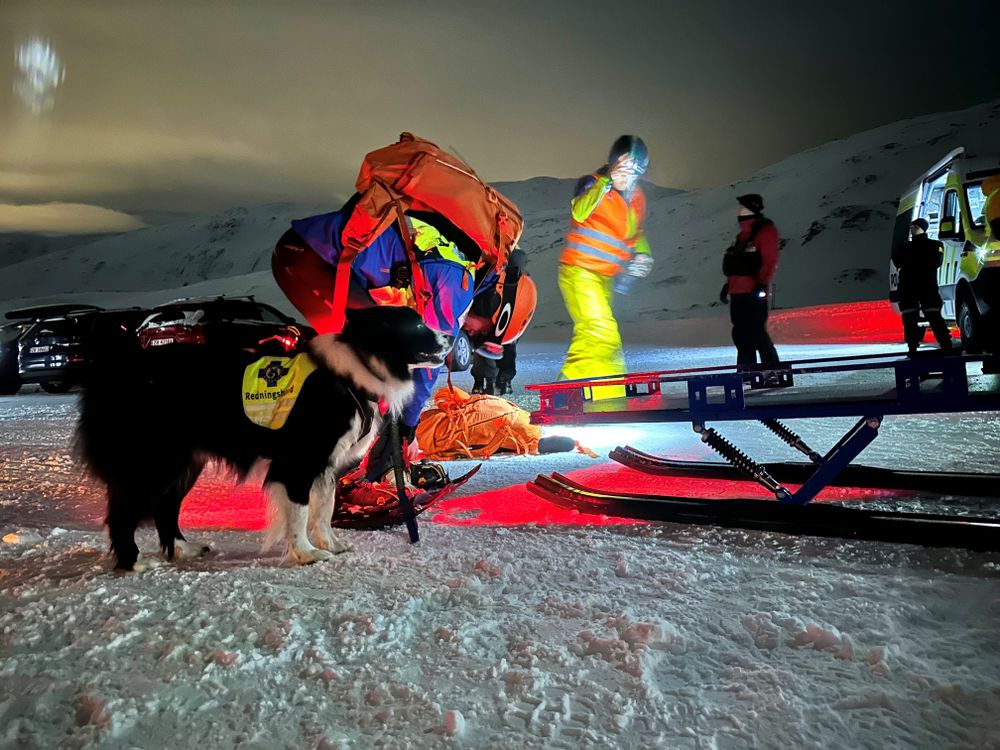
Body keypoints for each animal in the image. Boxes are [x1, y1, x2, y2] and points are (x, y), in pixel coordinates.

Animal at [72, 306, 444, 568]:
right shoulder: (299, 461)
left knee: (166, 507)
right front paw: (306, 554)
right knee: (122, 515)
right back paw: (134, 562)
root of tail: (109, 376)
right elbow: (300, 512)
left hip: (183, 463)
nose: (450, 337)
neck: (355, 368)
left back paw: (182, 549)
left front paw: (330, 544)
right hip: (152, 462)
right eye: (417, 326)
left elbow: (323, 509)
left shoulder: (326, 466)